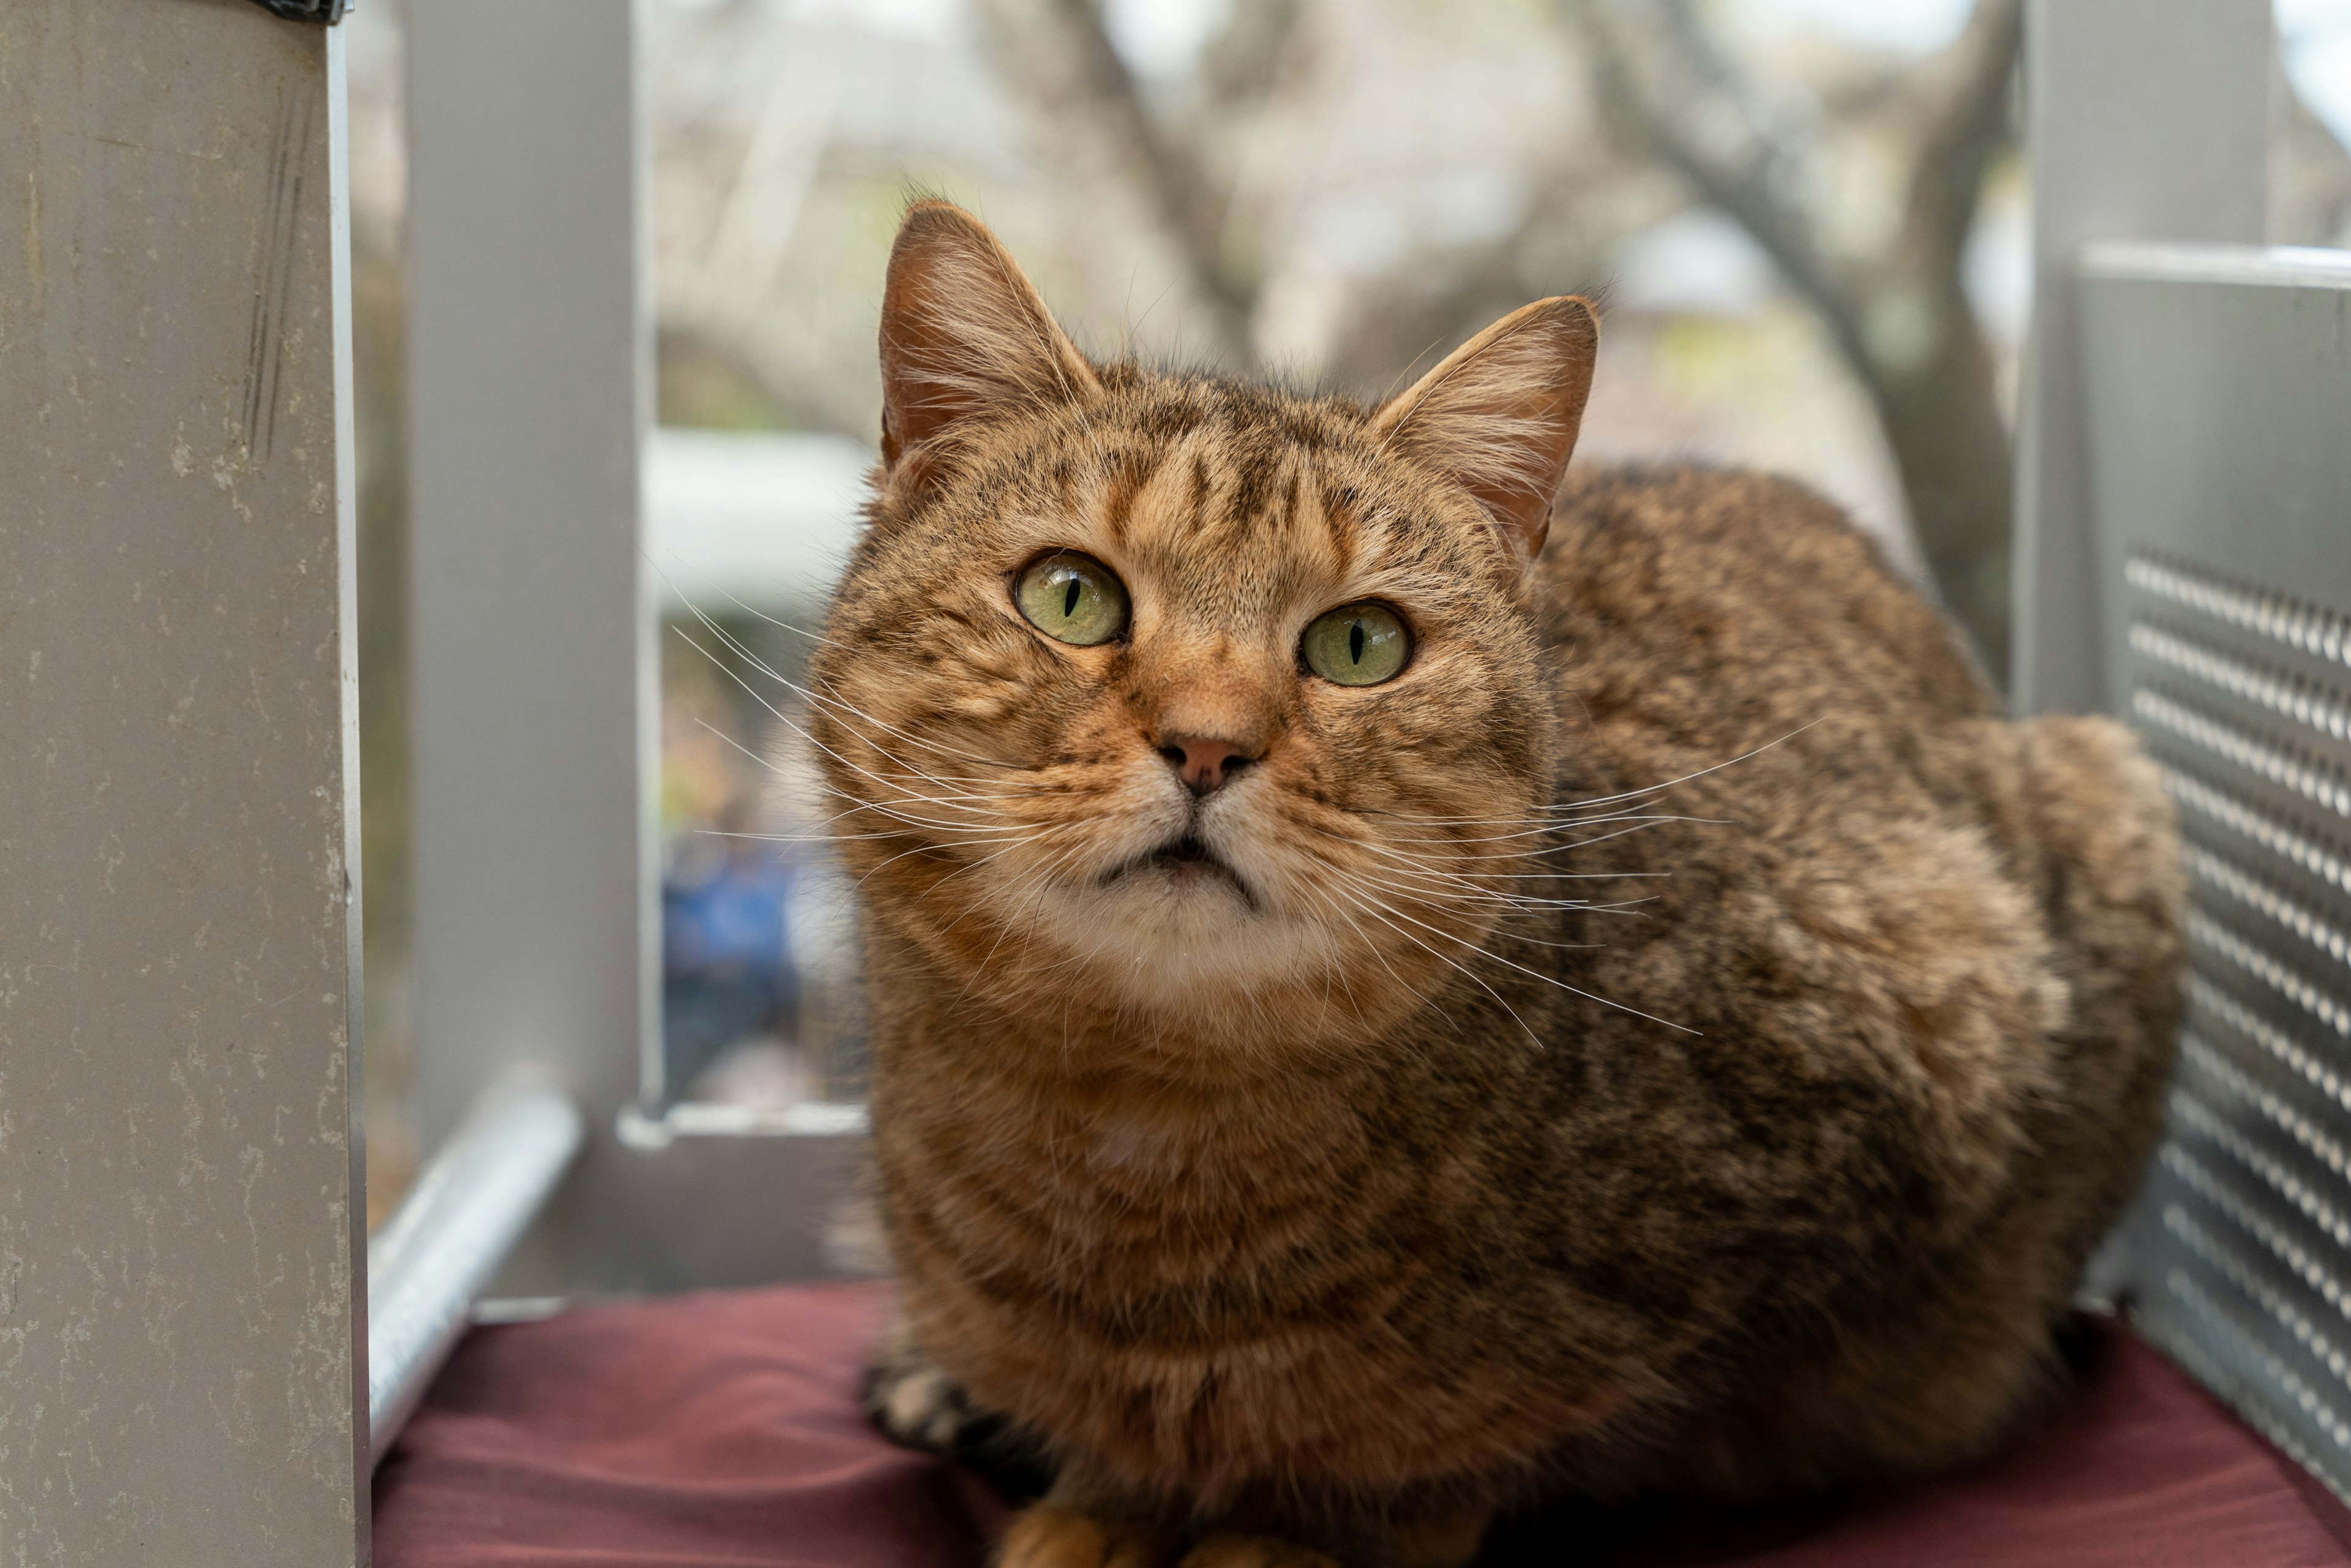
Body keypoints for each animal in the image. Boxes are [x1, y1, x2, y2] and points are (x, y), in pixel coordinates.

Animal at [808, 200, 2181, 1568]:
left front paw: (1293, 1523)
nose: (1207, 745)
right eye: (1070, 595)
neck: (1138, 1133)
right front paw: (1107, 1494)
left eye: (1360, 643)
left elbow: (1522, 1437)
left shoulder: (1920, 1066)